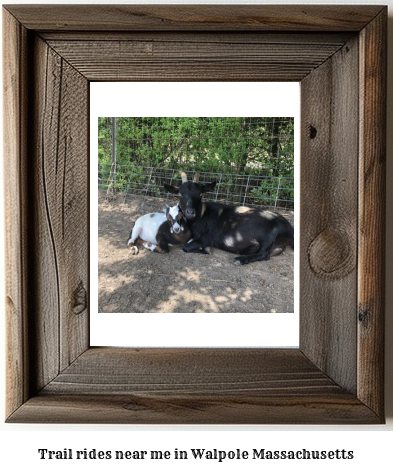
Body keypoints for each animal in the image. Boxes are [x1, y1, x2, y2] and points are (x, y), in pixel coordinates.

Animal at [163, 171, 294, 266]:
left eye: (200, 194)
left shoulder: (206, 238)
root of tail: (291, 230)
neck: (202, 216)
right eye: (180, 194)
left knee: (264, 255)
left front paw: (206, 249)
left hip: (273, 233)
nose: (190, 212)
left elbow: (186, 247)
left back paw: (240, 259)